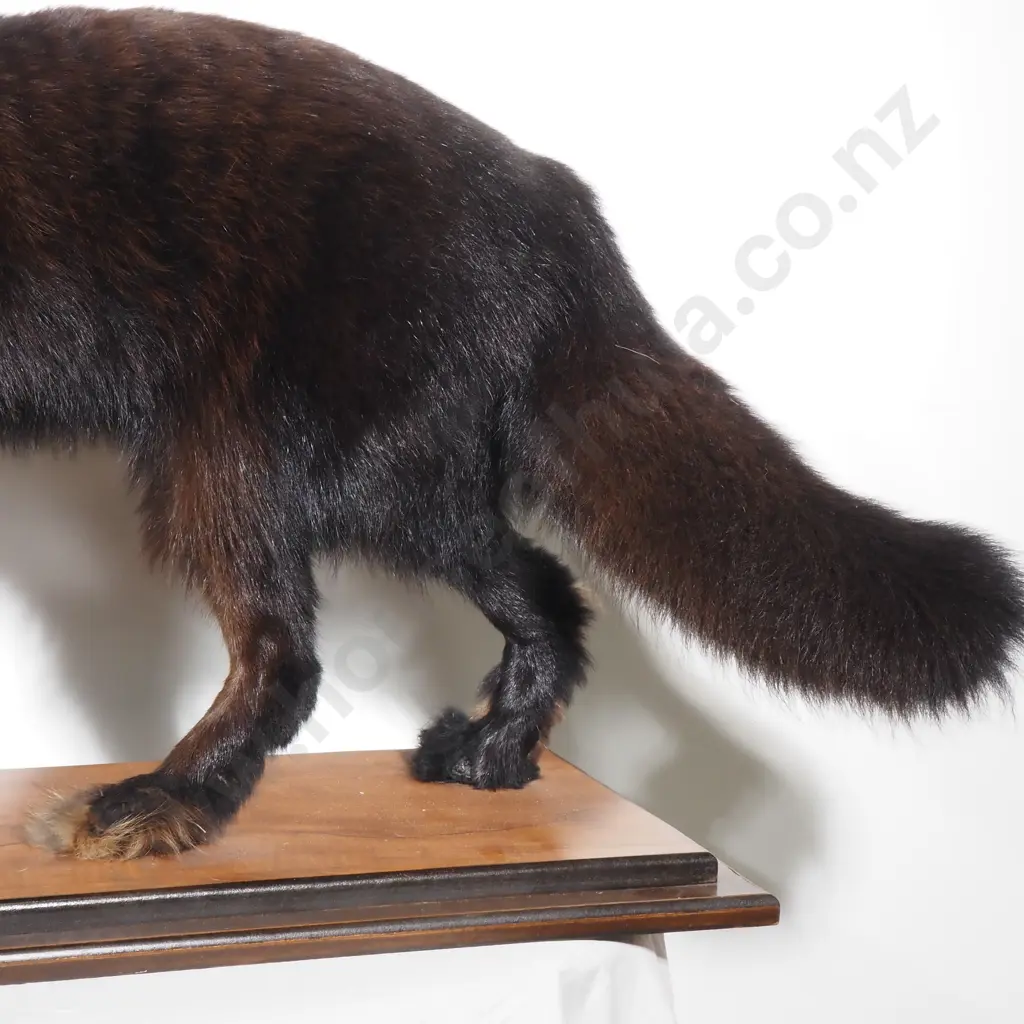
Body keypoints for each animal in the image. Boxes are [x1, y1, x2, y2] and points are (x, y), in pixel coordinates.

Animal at [1, 7, 1021, 860]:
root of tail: (562, 217)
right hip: (376, 471)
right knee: (549, 589)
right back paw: (488, 753)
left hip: (257, 458)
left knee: (288, 650)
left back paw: (153, 802)